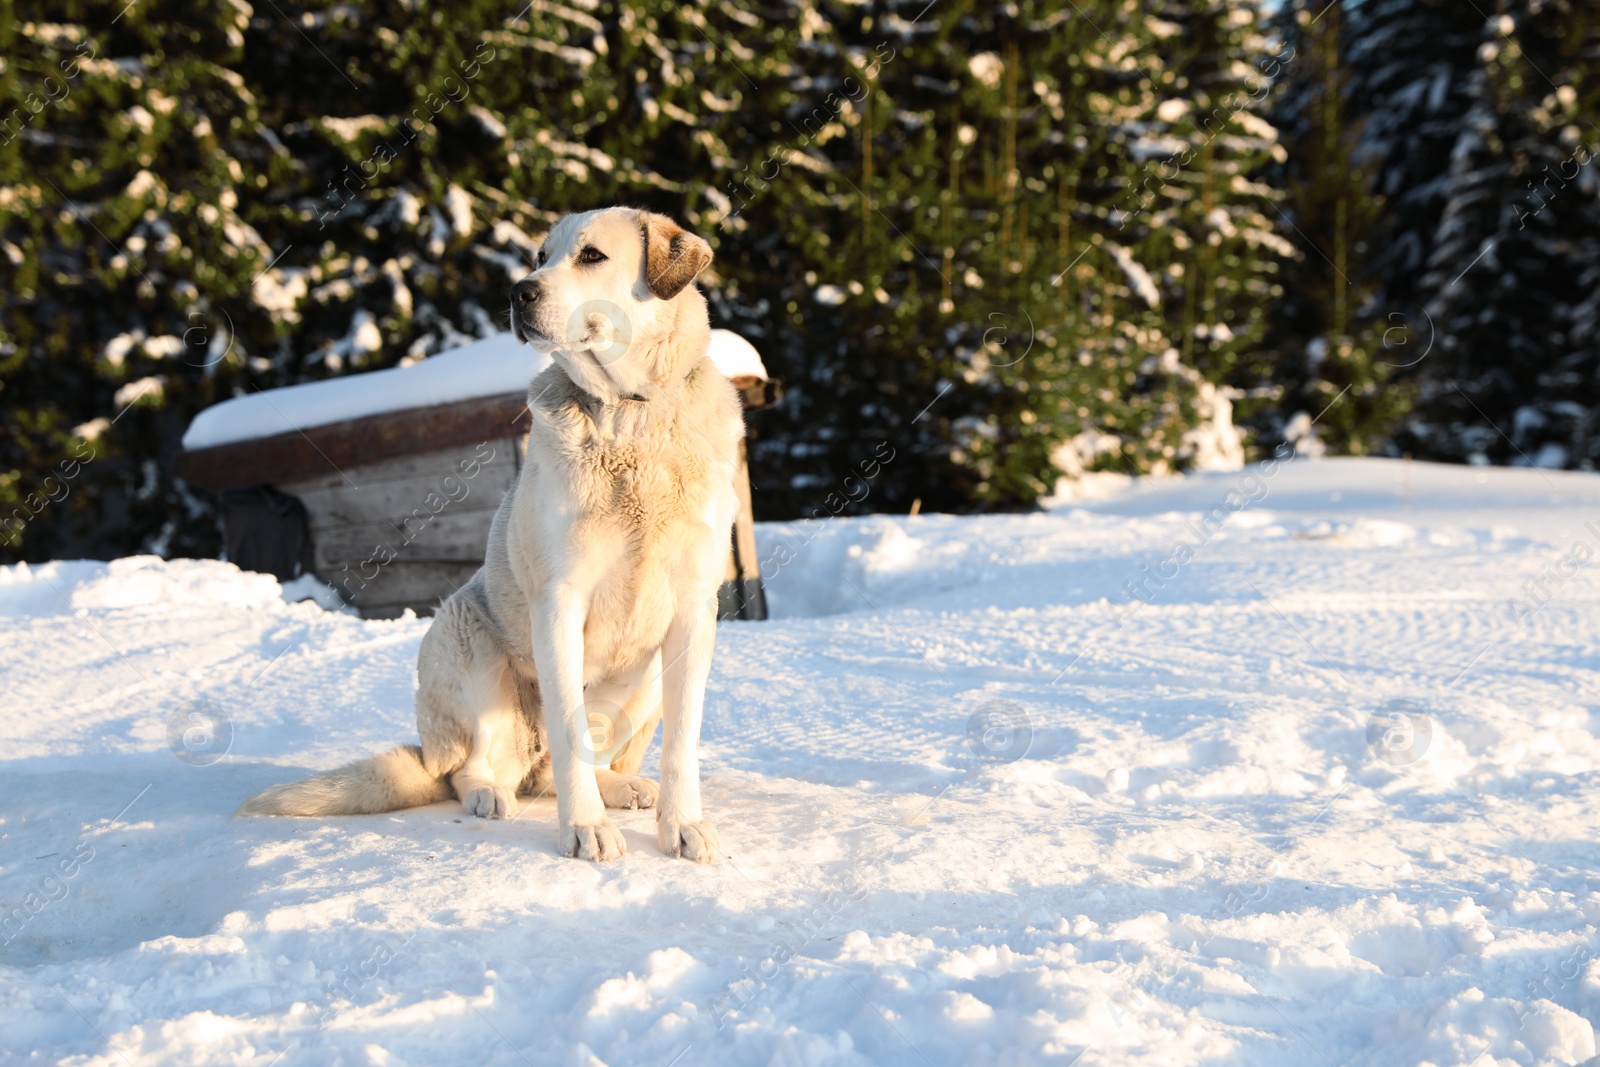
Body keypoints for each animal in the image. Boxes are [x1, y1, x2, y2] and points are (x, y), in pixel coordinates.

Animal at [241, 211, 742, 870]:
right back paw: (490, 795)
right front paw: (585, 829)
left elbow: (681, 743)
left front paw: (681, 826)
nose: (518, 293)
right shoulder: (559, 603)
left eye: (591, 256)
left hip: (647, 679)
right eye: (540, 255)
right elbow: (569, 726)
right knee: (475, 769)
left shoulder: (692, 610)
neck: (631, 415)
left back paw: (619, 785)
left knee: (562, 766)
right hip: (463, 638)